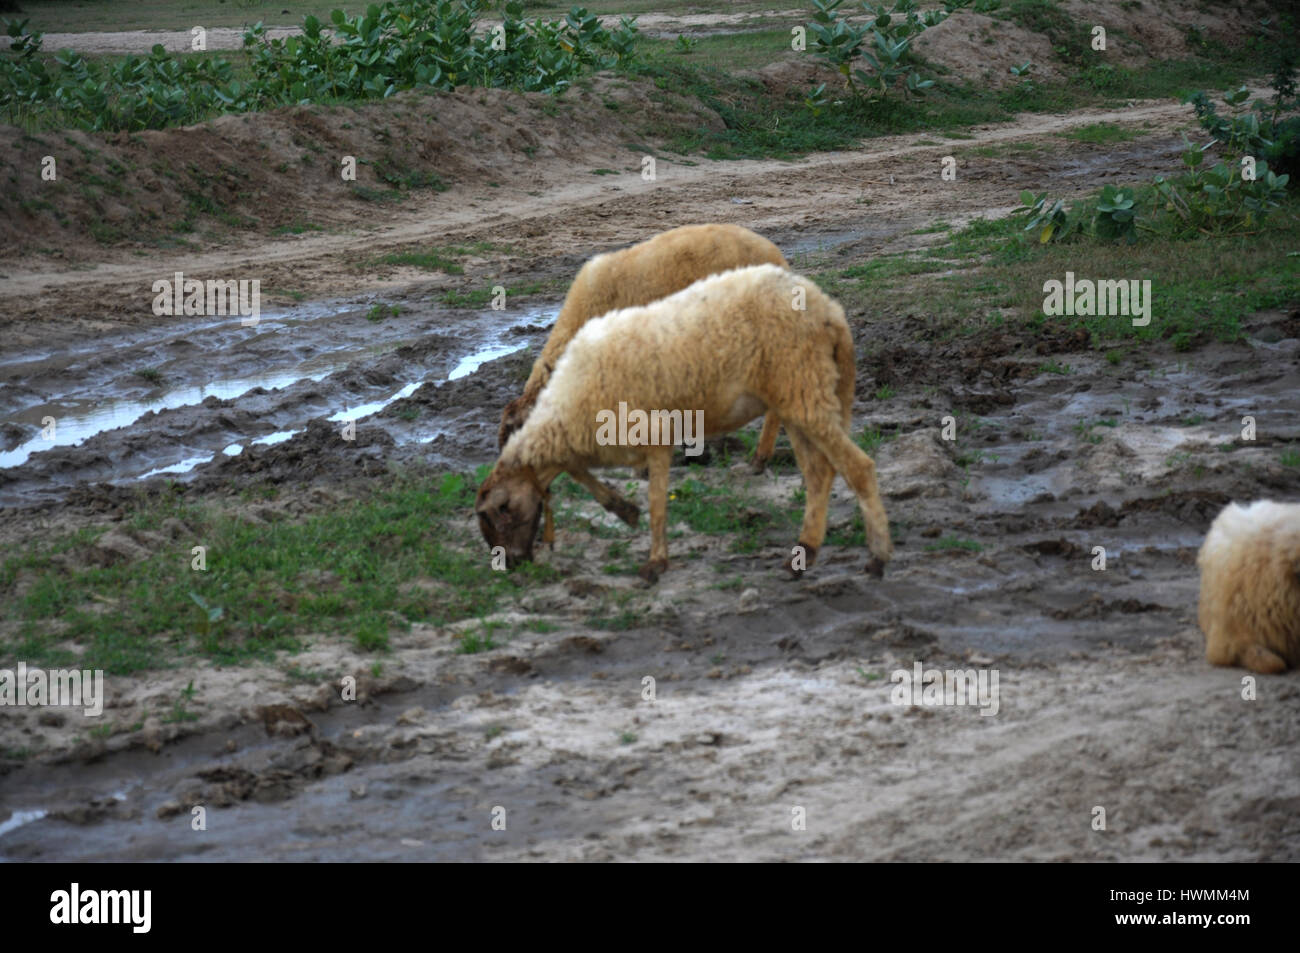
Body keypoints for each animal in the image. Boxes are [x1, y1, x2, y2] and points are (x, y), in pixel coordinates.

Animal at [478, 263, 894, 582]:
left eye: (502, 513)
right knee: (819, 473)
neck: (568, 405)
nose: (514, 565)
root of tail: (830, 310)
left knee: (858, 467)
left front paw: (654, 562)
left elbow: (657, 504)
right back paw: (804, 552)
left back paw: (877, 558)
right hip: (798, 396)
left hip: (805, 386)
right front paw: (623, 509)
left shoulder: (654, 435)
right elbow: (575, 468)